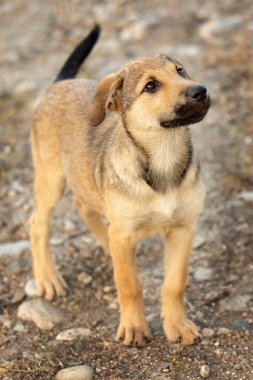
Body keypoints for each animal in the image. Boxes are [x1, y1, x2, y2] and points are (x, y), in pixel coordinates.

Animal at [29, 26, 210, 348]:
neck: (163, 158)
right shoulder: (126, 232)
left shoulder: (183, 229)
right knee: (37, 223)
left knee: (84, 206)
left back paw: (105, 244)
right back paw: (48, 278)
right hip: (51, 177)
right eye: (150, 86)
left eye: (180, 71)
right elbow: (129, 284)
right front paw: (134, 327)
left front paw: (177, 325)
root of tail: (59, 84)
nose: (200, 91)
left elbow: (174, 284)